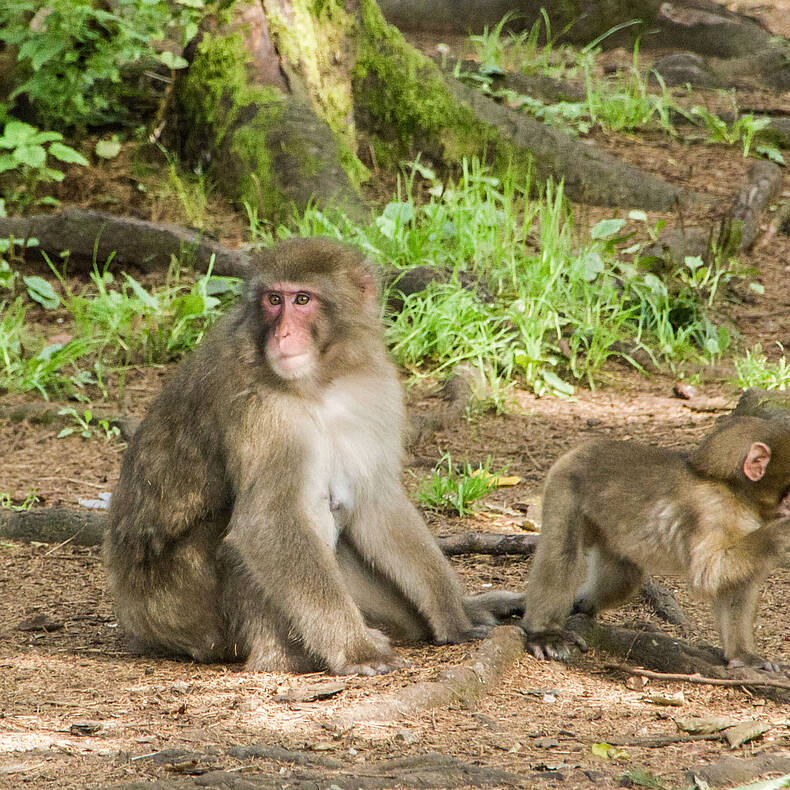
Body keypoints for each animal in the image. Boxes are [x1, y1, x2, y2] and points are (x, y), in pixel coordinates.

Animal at [105, 238, 524, 676]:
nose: (283, 334)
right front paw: (358, 650)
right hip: (177, 610)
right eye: (274, 300)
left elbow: (376, 502)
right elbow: (267, 522)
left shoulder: (374, 386)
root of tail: (132, 615)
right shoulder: (261, 409)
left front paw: (454, 615)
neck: (323, 380)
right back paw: (283, 656)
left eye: (302, 299)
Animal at [520, 418, 790, 672]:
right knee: (563, 553)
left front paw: (743, 656)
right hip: (566, 484)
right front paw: (781, 534)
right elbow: (707, 574)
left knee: (622, 579)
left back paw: (582, 605)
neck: (732, 490)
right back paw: (545, 632)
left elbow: (732, 582)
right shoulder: (712, 510)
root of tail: (583, 448)